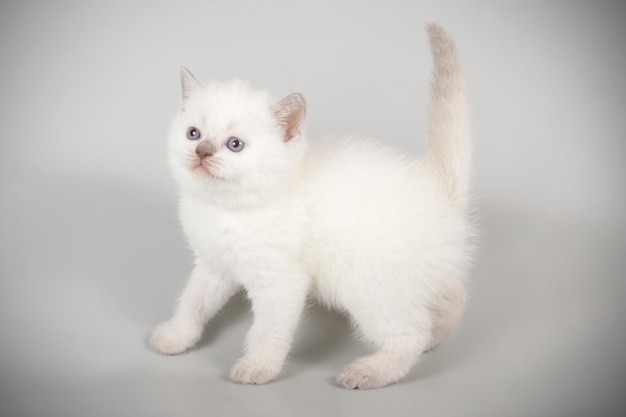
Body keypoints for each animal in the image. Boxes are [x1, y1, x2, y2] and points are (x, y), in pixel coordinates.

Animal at [150, 22, 472, 386]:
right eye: (193, 133)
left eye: (235, 145)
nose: (202, 151)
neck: (226, 209)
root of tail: (439, 188)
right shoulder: (213, 265)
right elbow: (192, 303)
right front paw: (176, 337)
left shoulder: (281, 282)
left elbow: (269, 331)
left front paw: (258, 368)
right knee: (454, 294)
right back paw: (438, 335)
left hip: (368, 285)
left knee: (411, 332)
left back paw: (370, 371)